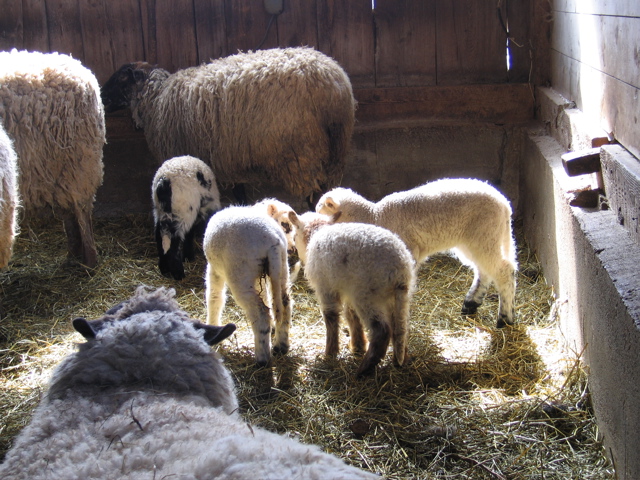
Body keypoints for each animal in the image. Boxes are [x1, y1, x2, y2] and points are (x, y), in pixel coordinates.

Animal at [0, 49, 105, 268]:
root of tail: (84, 76)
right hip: (61, 169)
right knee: (70, 211)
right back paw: (74, 255)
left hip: (77, 164)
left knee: (81, 211)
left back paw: (89, 261)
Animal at [101, 47, 356, 205]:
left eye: (120, 78)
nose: (101, 97)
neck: (156, 98)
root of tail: (334, 85)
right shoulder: (231, 159)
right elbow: (240, 193)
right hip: (335, 150)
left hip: (301, 152)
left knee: (314, 196)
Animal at [204, 205, 292, 366]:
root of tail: (273, 241)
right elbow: (265, 296)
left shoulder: (215, 269)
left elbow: (214, 297)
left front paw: (213, 324)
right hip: (281, 268)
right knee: (284, 305)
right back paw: (281, 346)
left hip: (240, 275)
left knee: (261, 314)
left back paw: (262, 358)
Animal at [289, 211, 416, 377]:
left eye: (294, 235)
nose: (293, 250)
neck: (317, 232)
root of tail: (400, 270)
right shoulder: (347, 289)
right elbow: (351, 315)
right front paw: (358, 345)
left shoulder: (325, 287)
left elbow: (330, 316)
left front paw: (330, 353)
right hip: (395, 297)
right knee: (400, 327)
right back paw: (400, 359)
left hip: (366, 294)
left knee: (382, 330)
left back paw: (364, 369)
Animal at [316, 179, 517, 328]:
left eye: (320, 209)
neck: (375, 216)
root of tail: (504, 204)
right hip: (473, 240)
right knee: (484, 271)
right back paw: (471, 304)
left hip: (485, 234)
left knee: (503, 271)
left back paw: (505, 318)